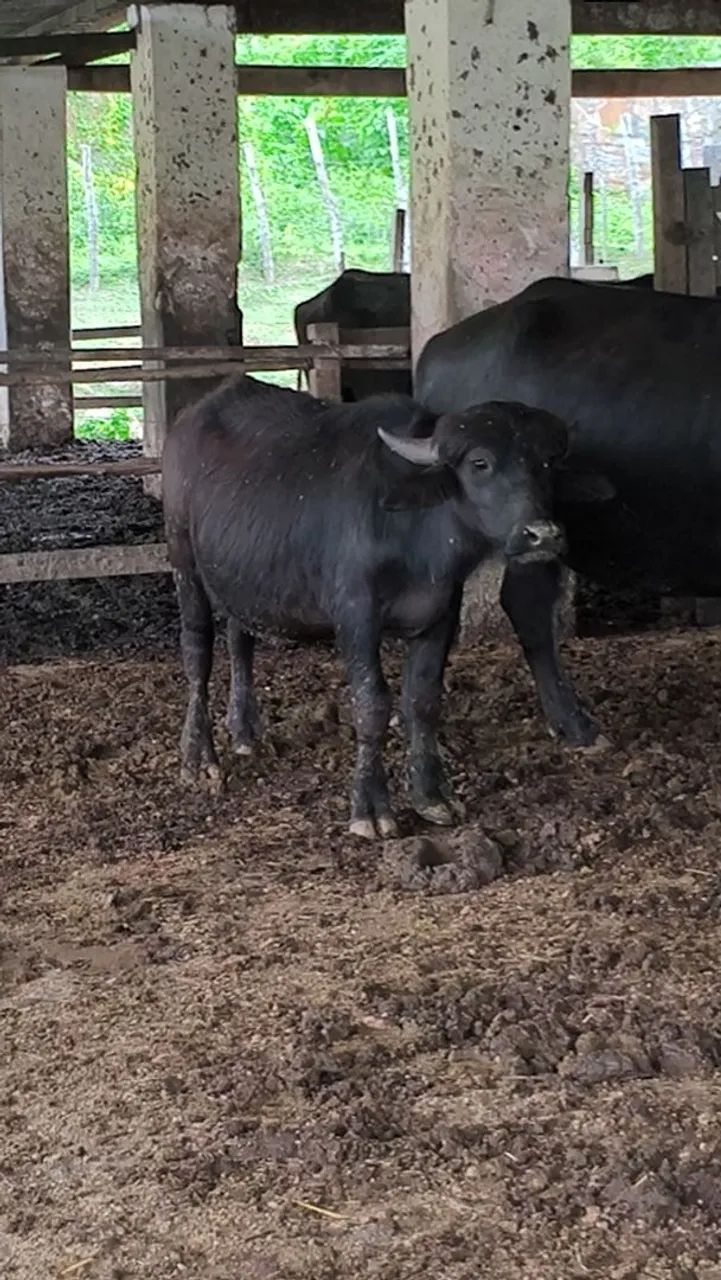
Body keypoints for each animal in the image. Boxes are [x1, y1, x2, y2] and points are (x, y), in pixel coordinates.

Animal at [162, 375, 611, 838]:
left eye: (547, 464)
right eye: (480, 463)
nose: (543, 535)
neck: (414, 536)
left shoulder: (440, 612)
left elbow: (423, 698)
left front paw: (431, 795)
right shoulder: (355, 616)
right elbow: (372, 704)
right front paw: (371, 808)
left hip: (242, 579)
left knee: (240, 641)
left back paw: (245, 733)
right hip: (183, 560)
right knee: (197, 654)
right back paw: (198, 758)